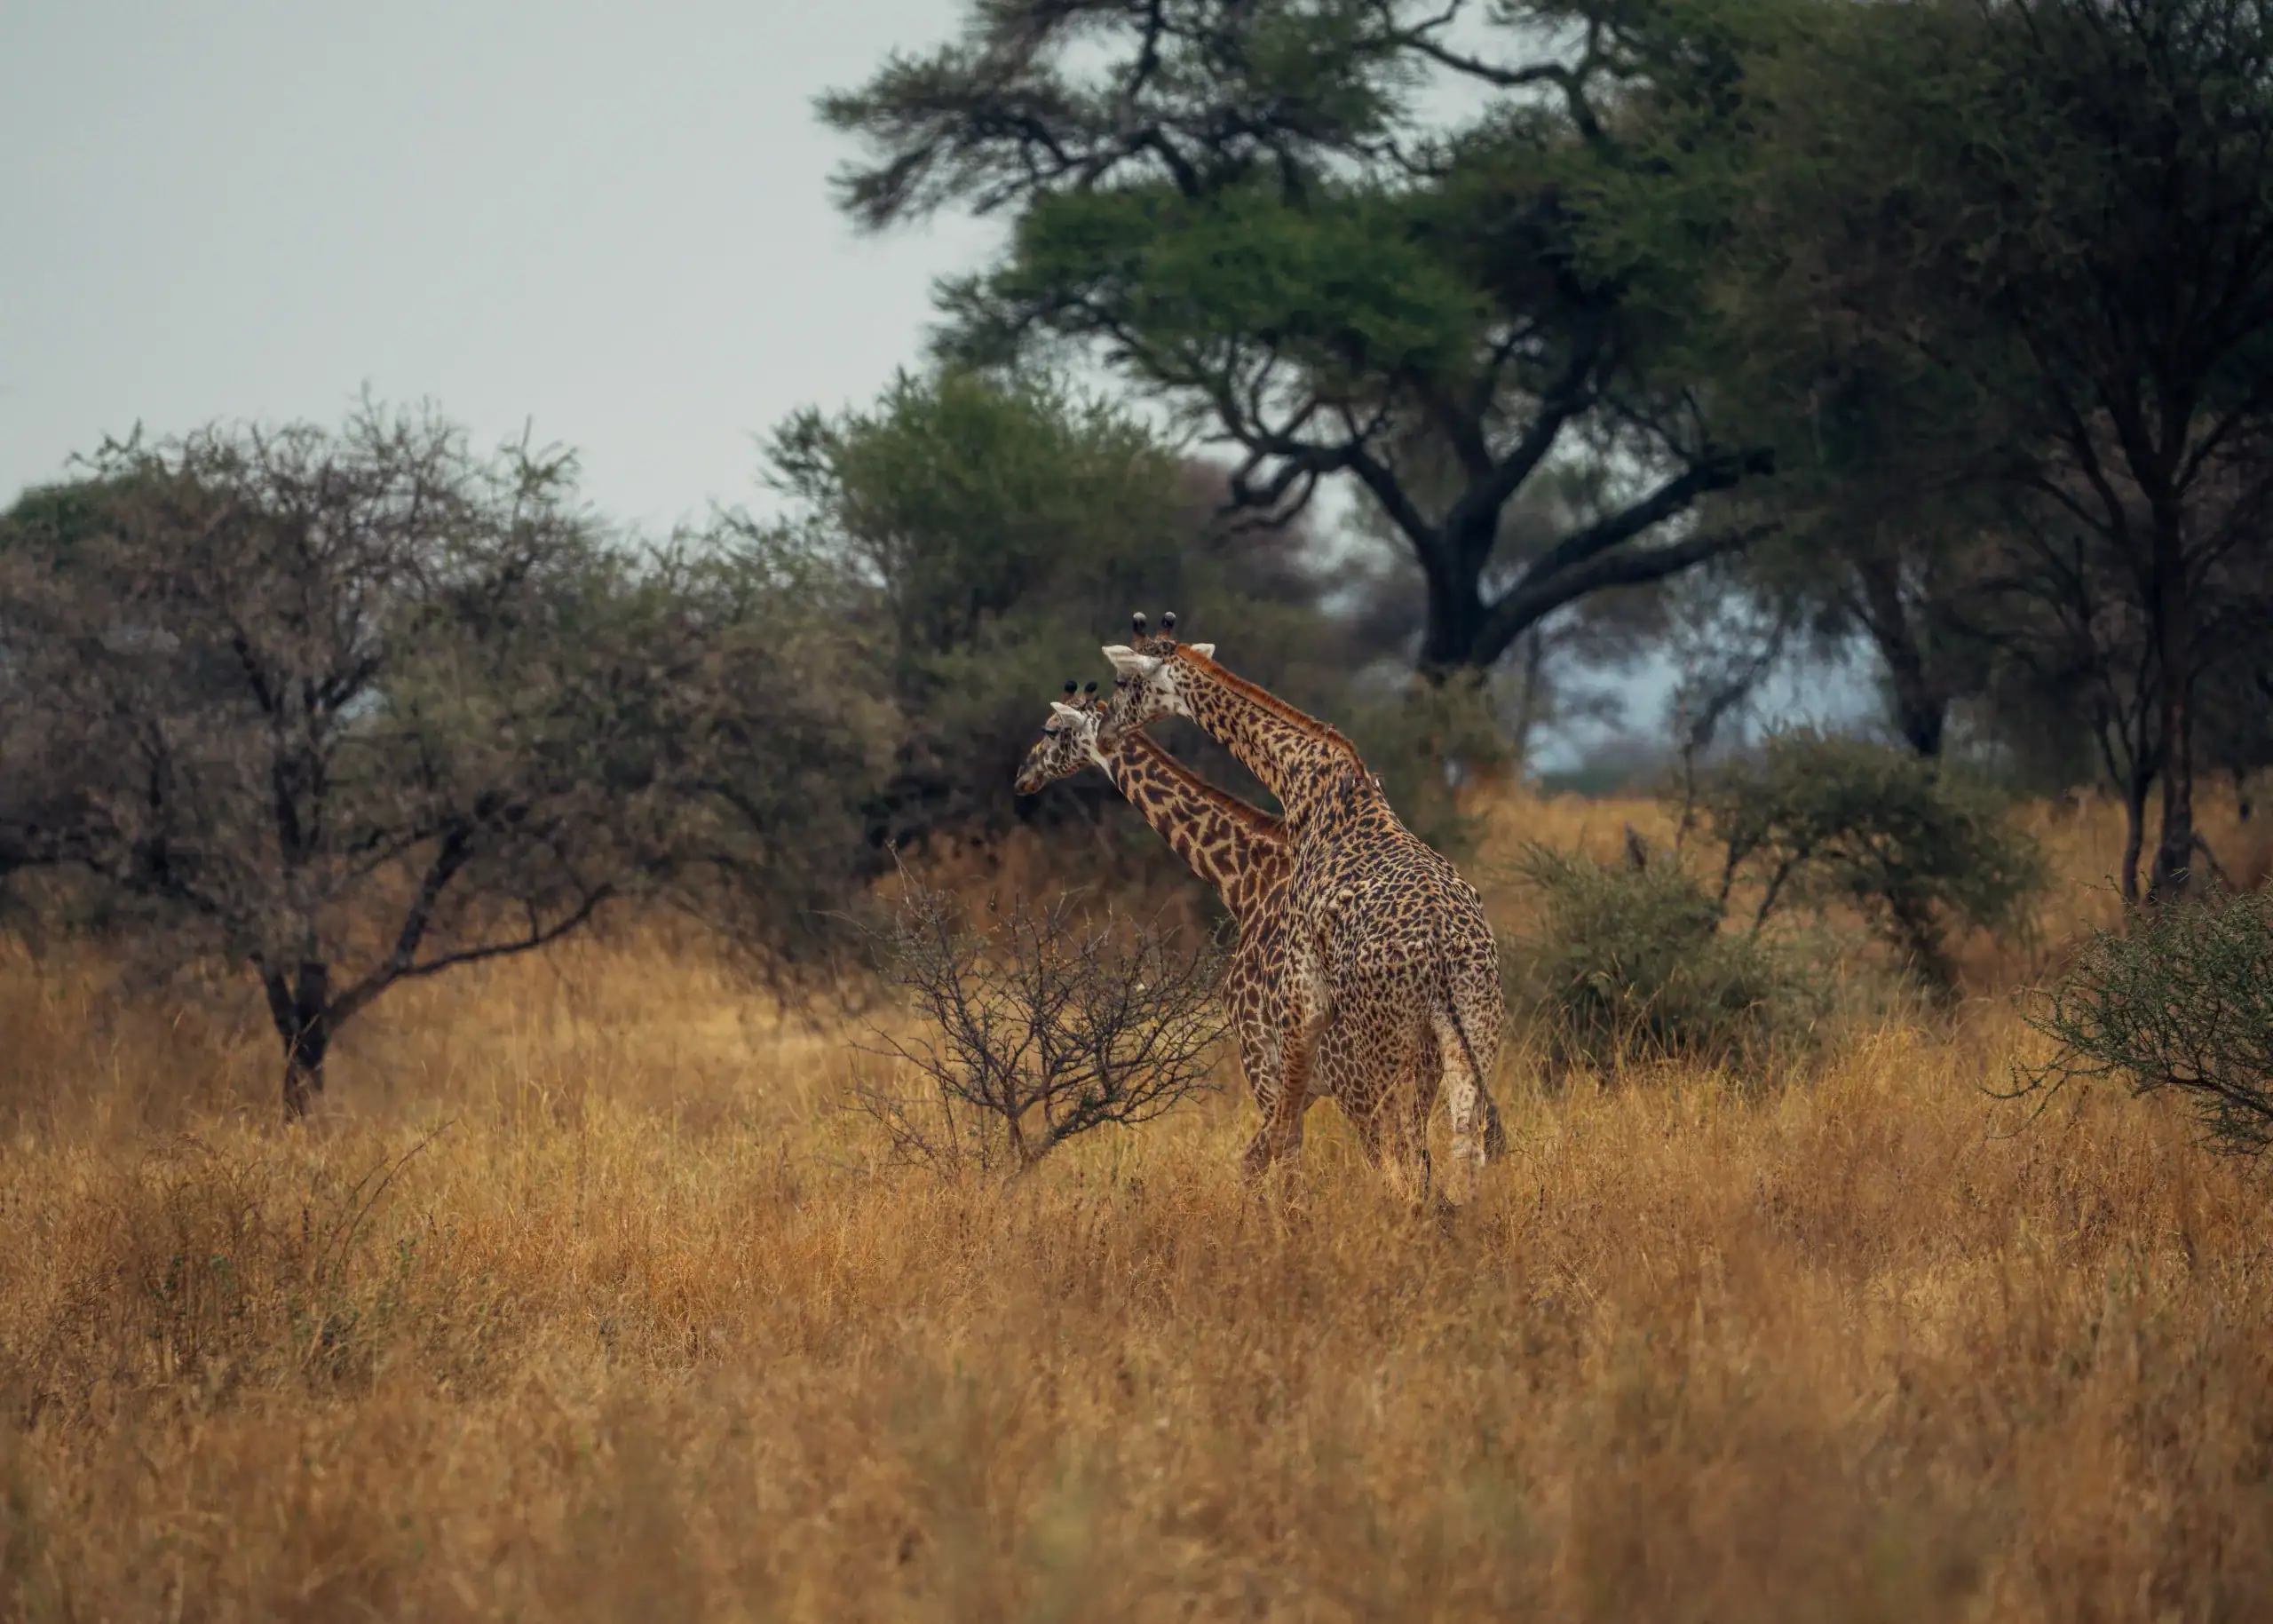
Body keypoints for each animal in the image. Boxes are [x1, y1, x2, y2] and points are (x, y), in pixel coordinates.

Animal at [1013, 682, 1439, 1171]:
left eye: (1051, 729)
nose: (1023, 775)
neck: (1244, 882)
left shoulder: (1258, 1052)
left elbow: (1281, 1159)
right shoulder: (1301, 1083)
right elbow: (1253, 1163)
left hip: (1360, 1083)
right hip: (1416, 1077)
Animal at [1096, 613, 1508, 1200]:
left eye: (1122, 682)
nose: (1107, 731)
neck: (1300, 777)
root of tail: (1440, 949)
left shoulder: (1301, 992)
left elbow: (1284, 1132)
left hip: (1386, 1045)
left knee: (1402, 1160)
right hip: (1473, 1027)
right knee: (1460, 1149)